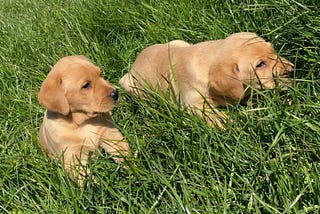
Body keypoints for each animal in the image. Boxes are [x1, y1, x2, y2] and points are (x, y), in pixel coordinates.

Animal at [36, 55, 129, 186]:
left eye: (100, 74)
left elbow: (124, 153)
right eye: (86, 85)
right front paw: (98, 188)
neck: (82, 123)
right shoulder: (72, 157)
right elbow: (85, 178)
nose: (116, 93)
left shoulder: (111, 135)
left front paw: (134, 170)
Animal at [120, 32, 296, 126]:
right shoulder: (194, 104)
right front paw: (231, 124)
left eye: (273, 50)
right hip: (132, 86)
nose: (292, 71)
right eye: (260, 64)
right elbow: (215, 116)